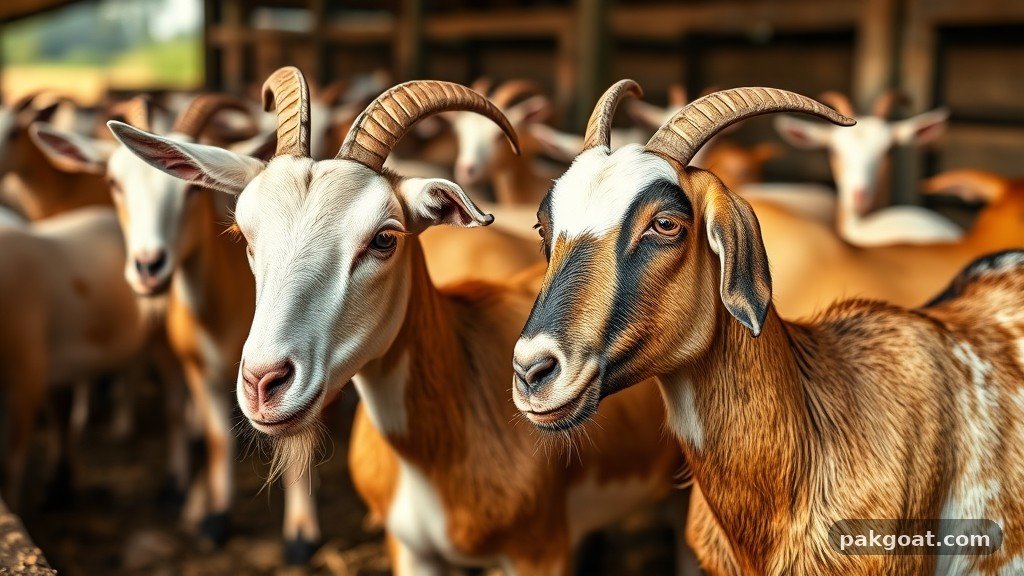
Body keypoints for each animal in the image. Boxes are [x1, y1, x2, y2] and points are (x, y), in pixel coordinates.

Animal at [31, 94, 322, 563]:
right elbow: (216, 436)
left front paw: (300, 536)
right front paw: (214, 518)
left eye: (193, 188)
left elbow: (300, 446)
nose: (149, 267)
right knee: (173, 408)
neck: (220, 310)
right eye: (113, 182)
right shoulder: (196, 365)